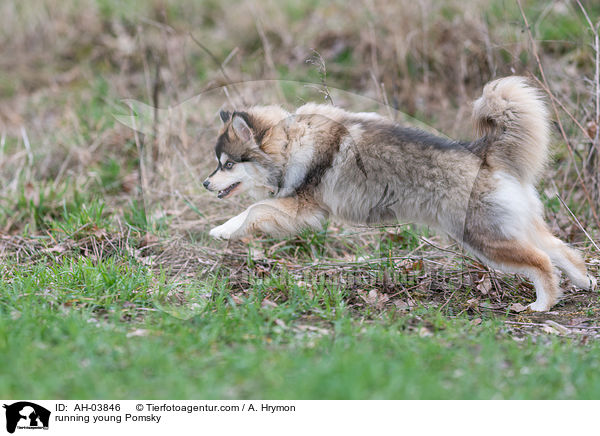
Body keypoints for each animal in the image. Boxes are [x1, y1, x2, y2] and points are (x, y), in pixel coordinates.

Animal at [205, 77, 596, 310]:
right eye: (218, 163)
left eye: (228, 165)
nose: (205, 184)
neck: (291, 141)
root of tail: (482, 153)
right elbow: (257, 207)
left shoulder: (301, 207)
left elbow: (255, 209)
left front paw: (223, 229)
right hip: (510, 228)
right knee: (560, 249)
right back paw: (586, 281)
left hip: (485, 239)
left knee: (542, 260)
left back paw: (543, 304)